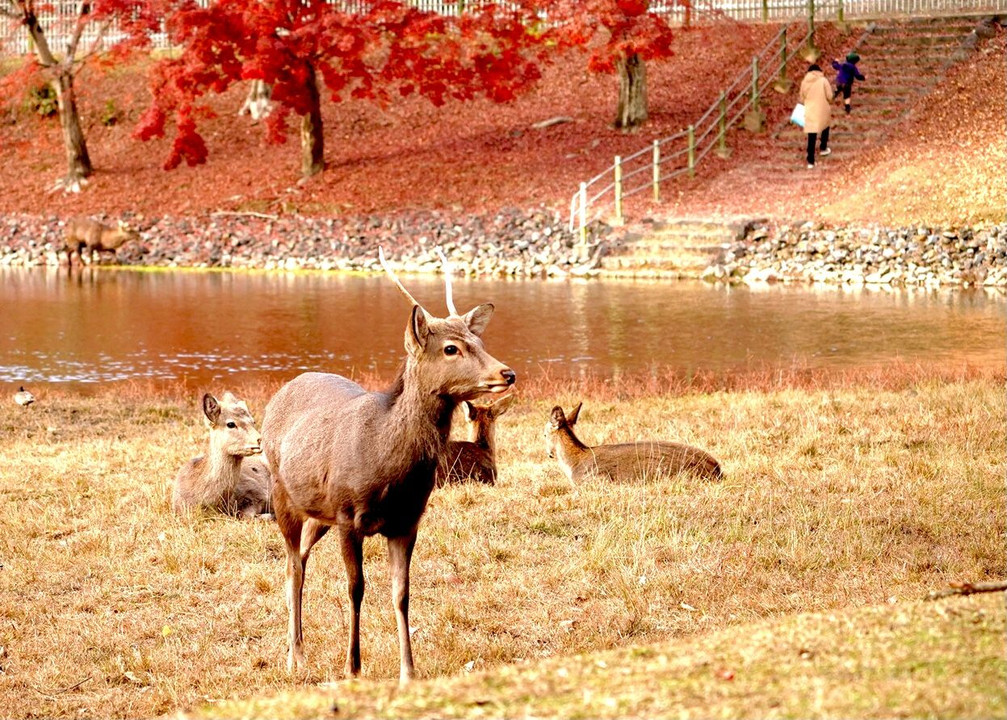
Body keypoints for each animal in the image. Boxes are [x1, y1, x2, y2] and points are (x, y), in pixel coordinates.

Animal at [259, 250, 515, 684]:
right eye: (451, 349)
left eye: (479, 341)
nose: (507, 373)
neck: (387, 467)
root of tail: (281, 391)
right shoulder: (348, 516)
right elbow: (356, 588)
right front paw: (352, 667)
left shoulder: (407, 521)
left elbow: (402, 592)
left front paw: (409, 671)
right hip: (282, 493)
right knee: (292, 563)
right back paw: (296, 655)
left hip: (318, 512)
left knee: (301, 559)